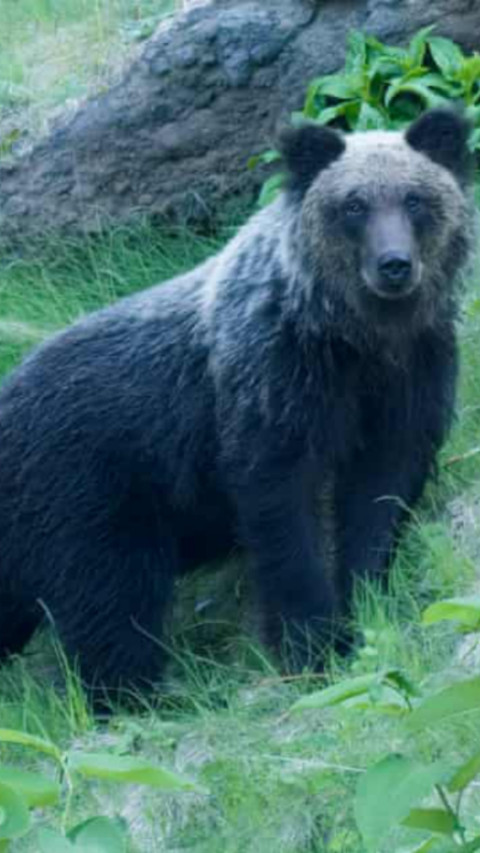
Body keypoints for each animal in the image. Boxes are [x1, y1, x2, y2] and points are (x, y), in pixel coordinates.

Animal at [0, 110, 474, 704]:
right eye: (353, 205)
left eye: (415, 199)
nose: (394, 266)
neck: (353, 339)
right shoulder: (271, 384)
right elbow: (282, 514)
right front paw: (312, 644)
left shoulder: (408, 378)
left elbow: (379, 497)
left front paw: (365, 607)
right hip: (87, 493)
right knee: (112, 603)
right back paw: (141, 696)